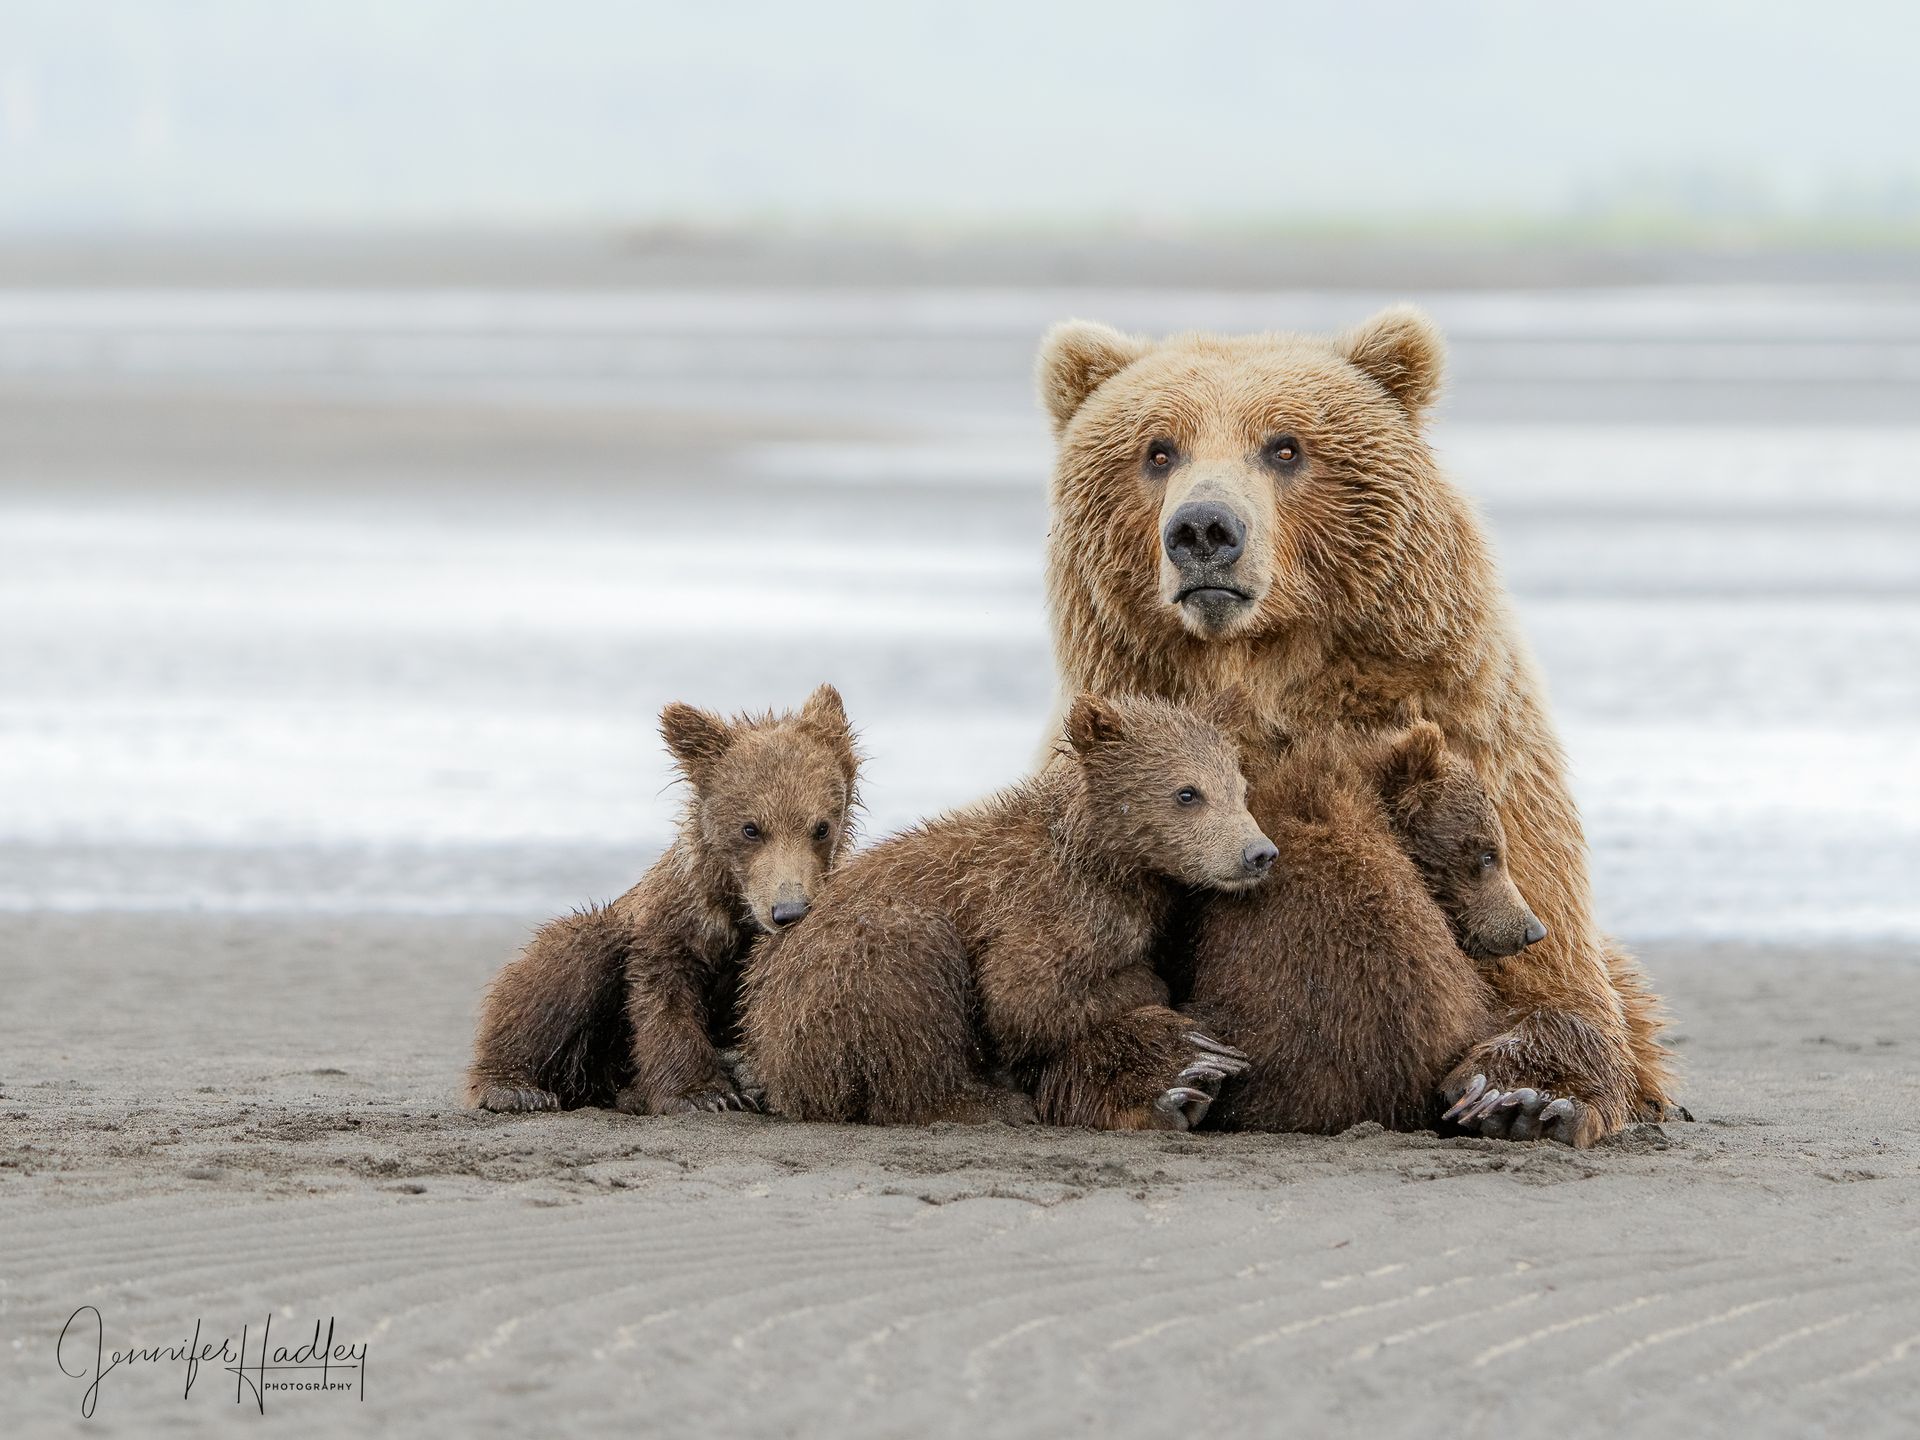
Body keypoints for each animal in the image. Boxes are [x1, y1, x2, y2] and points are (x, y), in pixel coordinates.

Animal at [466, 684, 860, 1115]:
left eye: (821, 827)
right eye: (751, 828)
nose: (789, 911)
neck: (737, 908)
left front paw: (743, 1080)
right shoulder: (673, 923)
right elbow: (664, 994)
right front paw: (702, 1093)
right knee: (565, 964)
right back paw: (515, 1088)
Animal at [740, 690, 1274, 1131]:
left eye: (1240, 788)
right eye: (1187, 792)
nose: (1259, 852)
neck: (1105, 858)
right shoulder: (1049, 904)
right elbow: (1021, 999)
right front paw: (1150, 985)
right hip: (831, 988)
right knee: (908, 977)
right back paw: (987, 1104)